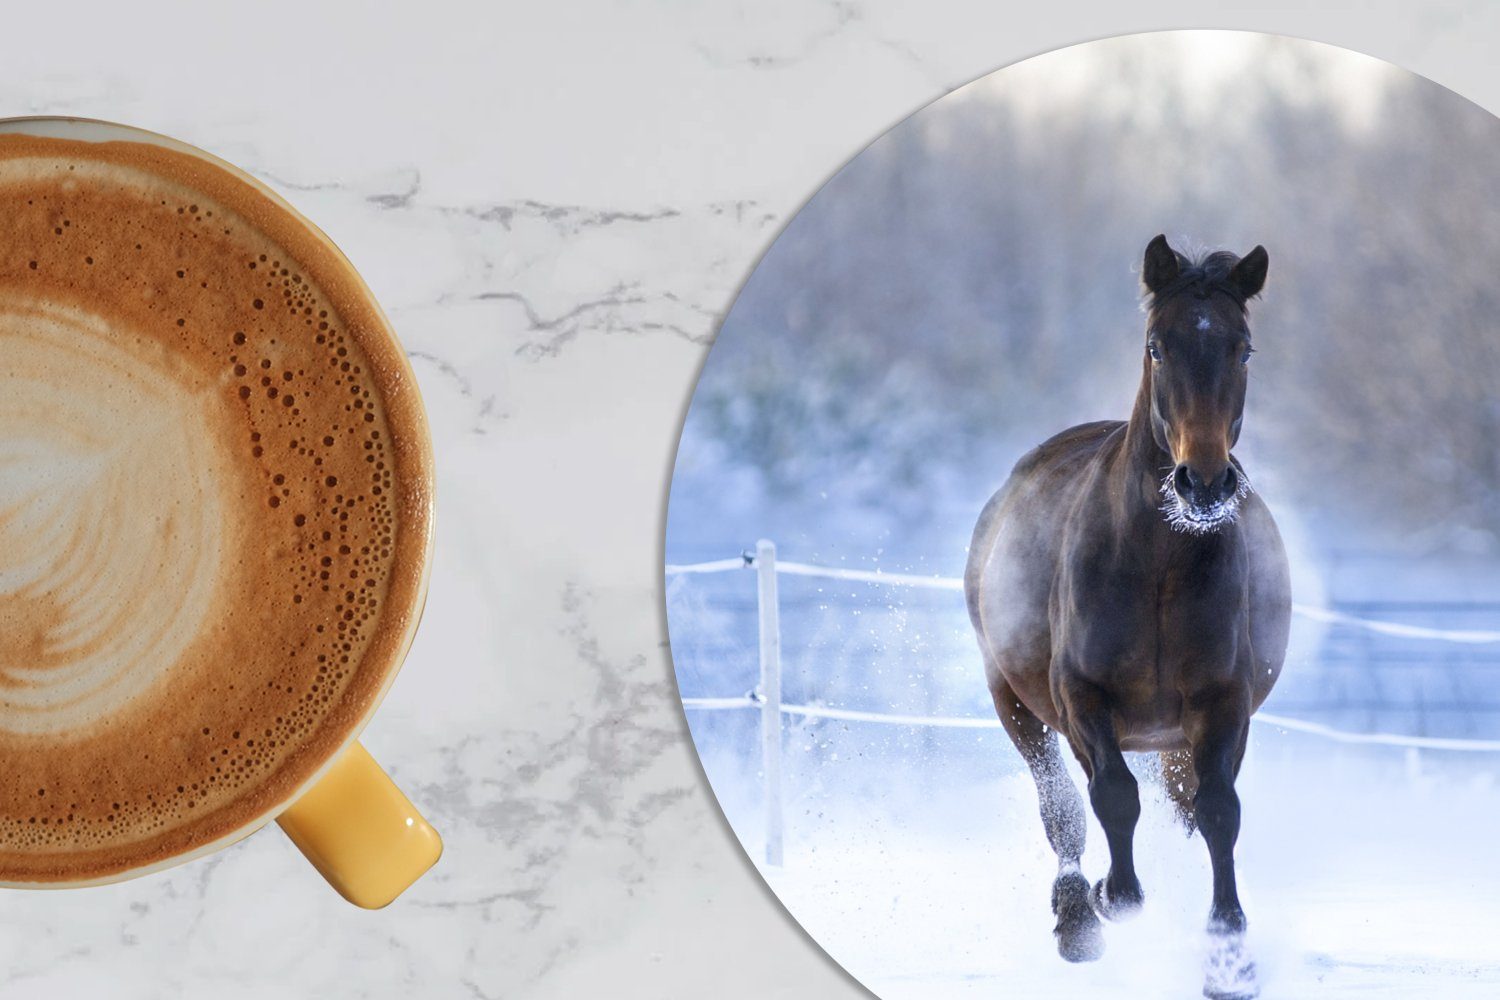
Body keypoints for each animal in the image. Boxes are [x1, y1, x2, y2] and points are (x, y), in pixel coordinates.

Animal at [966, 236, 1296, 1000]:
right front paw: (1115, 898)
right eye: (1156, 346)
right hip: (1013, 699)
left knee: (1182, 803)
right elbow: (1111, 796)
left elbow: (1218, 811)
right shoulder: (1082, 697)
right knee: (1061, 804)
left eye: (1243, 349)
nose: (1203, 483)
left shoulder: (1221, 702)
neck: (1157, 567)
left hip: (1172, 734)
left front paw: (1229, 957)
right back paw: (1075, 917)